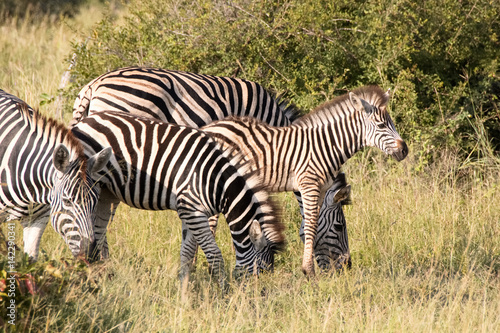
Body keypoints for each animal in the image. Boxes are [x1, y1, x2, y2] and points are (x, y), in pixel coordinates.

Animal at [72, 109, 288, 282]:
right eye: (260, 272)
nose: (255, 300)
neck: (216, 180)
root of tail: (87, 119)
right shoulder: (191, 211)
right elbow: (214, 255)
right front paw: (223, 294)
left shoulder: (192, 213)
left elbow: (187, 254)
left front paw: (184, 293)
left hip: (107, 192)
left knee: (98, 232)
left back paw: (103, 272)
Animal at [201, 85, 408, 274]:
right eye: (381, 126)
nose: (345, 268)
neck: (327, 146)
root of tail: (207, 128)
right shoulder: (309, 184)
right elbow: (310, 225)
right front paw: (308, 270)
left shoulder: (321, 189)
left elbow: (312, 225)